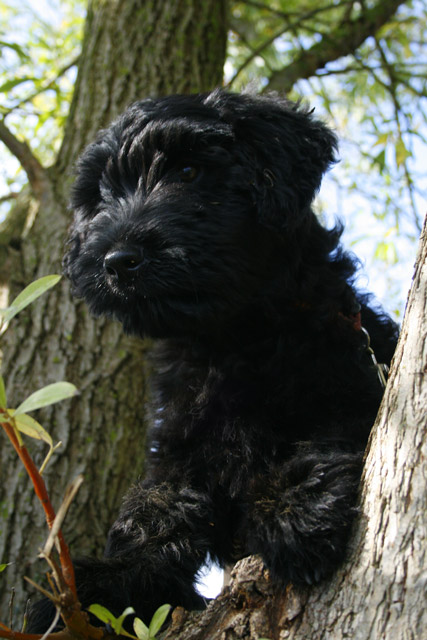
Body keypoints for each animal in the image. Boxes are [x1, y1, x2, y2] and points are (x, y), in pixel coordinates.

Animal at [29, 89, 398, 630]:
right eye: (100, 196)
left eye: (188, 172)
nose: (117, 262)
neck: (230, 339)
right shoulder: (181, 447)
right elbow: (152, 510)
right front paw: (111, 581)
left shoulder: (355, 384)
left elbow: (325, 432)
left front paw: (293, 508)